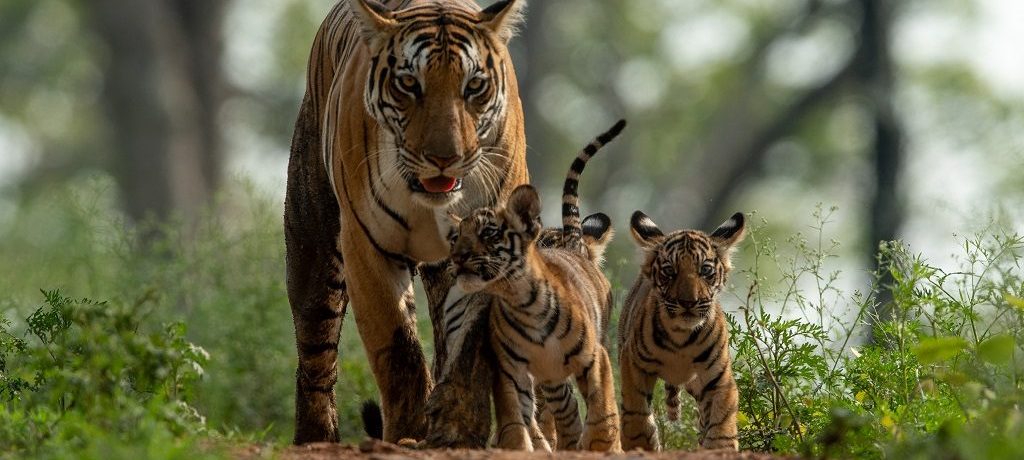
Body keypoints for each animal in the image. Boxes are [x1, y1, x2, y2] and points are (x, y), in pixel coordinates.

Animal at [286, 0, 528, 444]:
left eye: (474, 86)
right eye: (409, 84)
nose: (444, 158)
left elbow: (468, 343)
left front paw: (457, 430)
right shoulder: (367, 246)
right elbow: (399, 348)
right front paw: (408, 432)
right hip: (313, 245)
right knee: (316, 355)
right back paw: (316, 437)